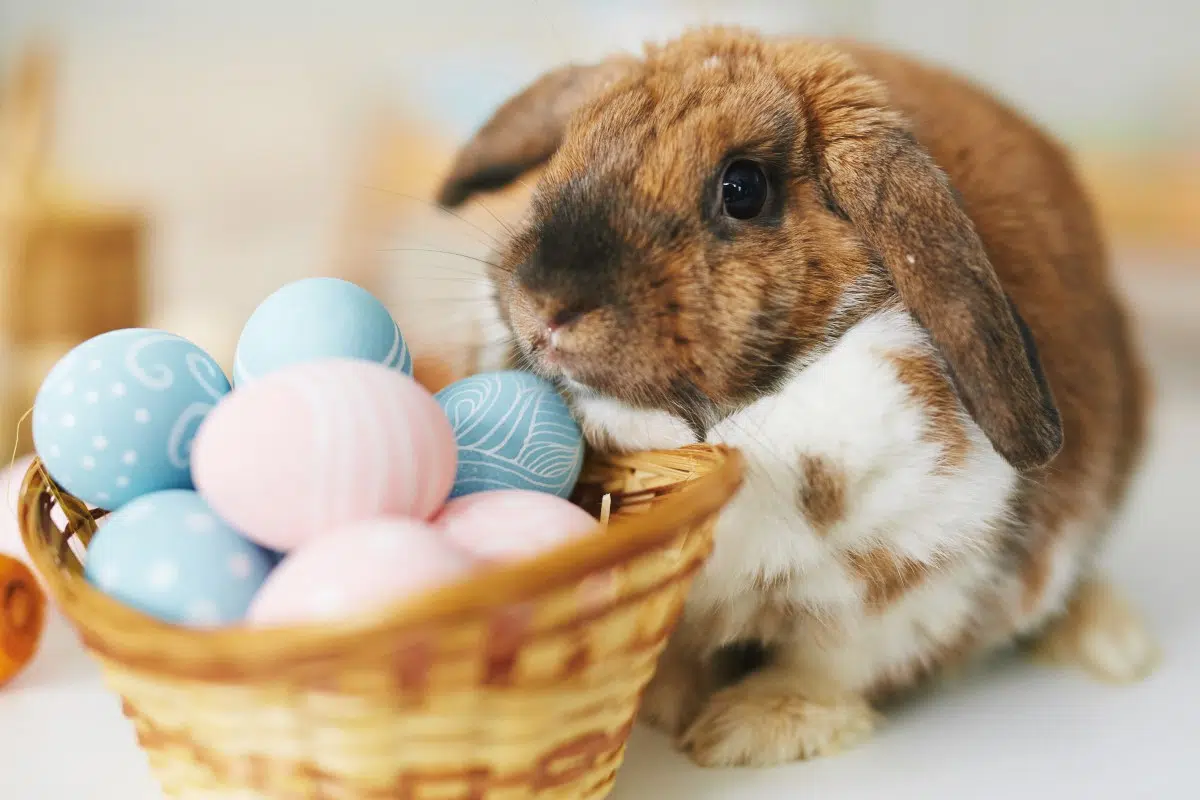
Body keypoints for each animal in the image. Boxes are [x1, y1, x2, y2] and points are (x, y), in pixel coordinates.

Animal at [435, 26, 1158, 768]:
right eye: (567, 148)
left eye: (743, 187)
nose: (545, 306)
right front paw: (663, 700)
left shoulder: (916, 583)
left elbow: (829, 666)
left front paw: (748, 729)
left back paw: (1115, 644)